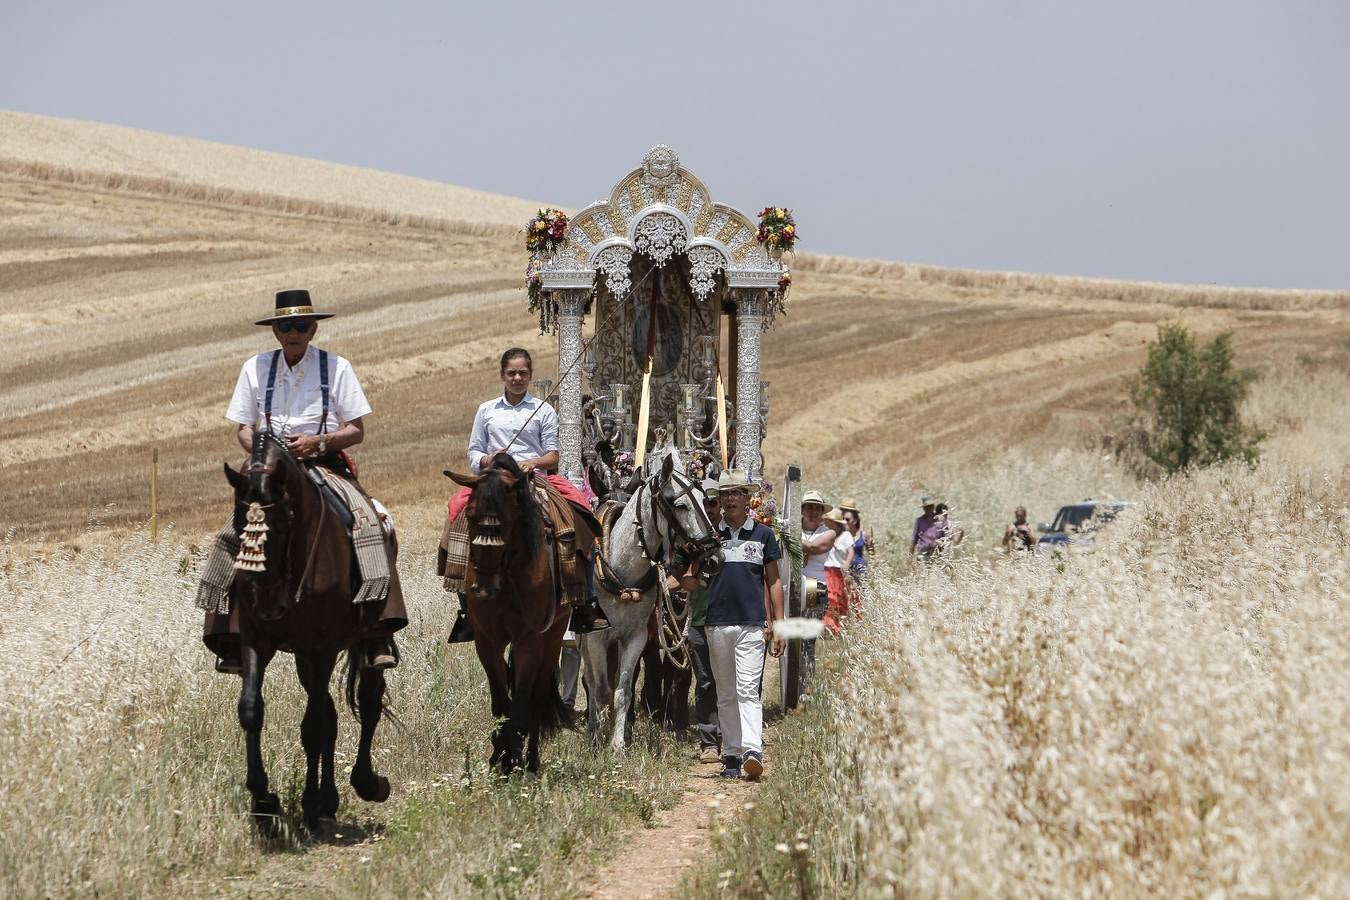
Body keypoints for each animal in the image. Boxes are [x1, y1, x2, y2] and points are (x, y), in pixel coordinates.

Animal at [221, 431, 394, 836]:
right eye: (239, 524)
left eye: (286, 522)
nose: (269, 603)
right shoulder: (257, 639)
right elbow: (251, 710)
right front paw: (264, 804)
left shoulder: (322, 646)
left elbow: (314, 725)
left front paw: (311, 803)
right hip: (303, 657)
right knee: (331, 712)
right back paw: (327, 801)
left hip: (361, 643)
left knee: (368, 702)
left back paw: (365, 783)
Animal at [440, 458, 572, 777]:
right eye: (471, 517)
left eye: (508, 521)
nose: (484, 588)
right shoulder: (488, 641)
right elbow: (501, 702)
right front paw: (500, 758)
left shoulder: (529, 642)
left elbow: (522, 702)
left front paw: (515, 761)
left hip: (554, 636)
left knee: (539, 696)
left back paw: (533, 762)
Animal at [583, 450, 729, 755]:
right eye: (681, 505)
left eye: (705, 501)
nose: (715, 557)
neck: (621, 572)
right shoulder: (596, 638)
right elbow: (600, 690)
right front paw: (599, 740)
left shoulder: (635, 636)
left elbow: (622, 691)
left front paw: (618, 744)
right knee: (590, 679)